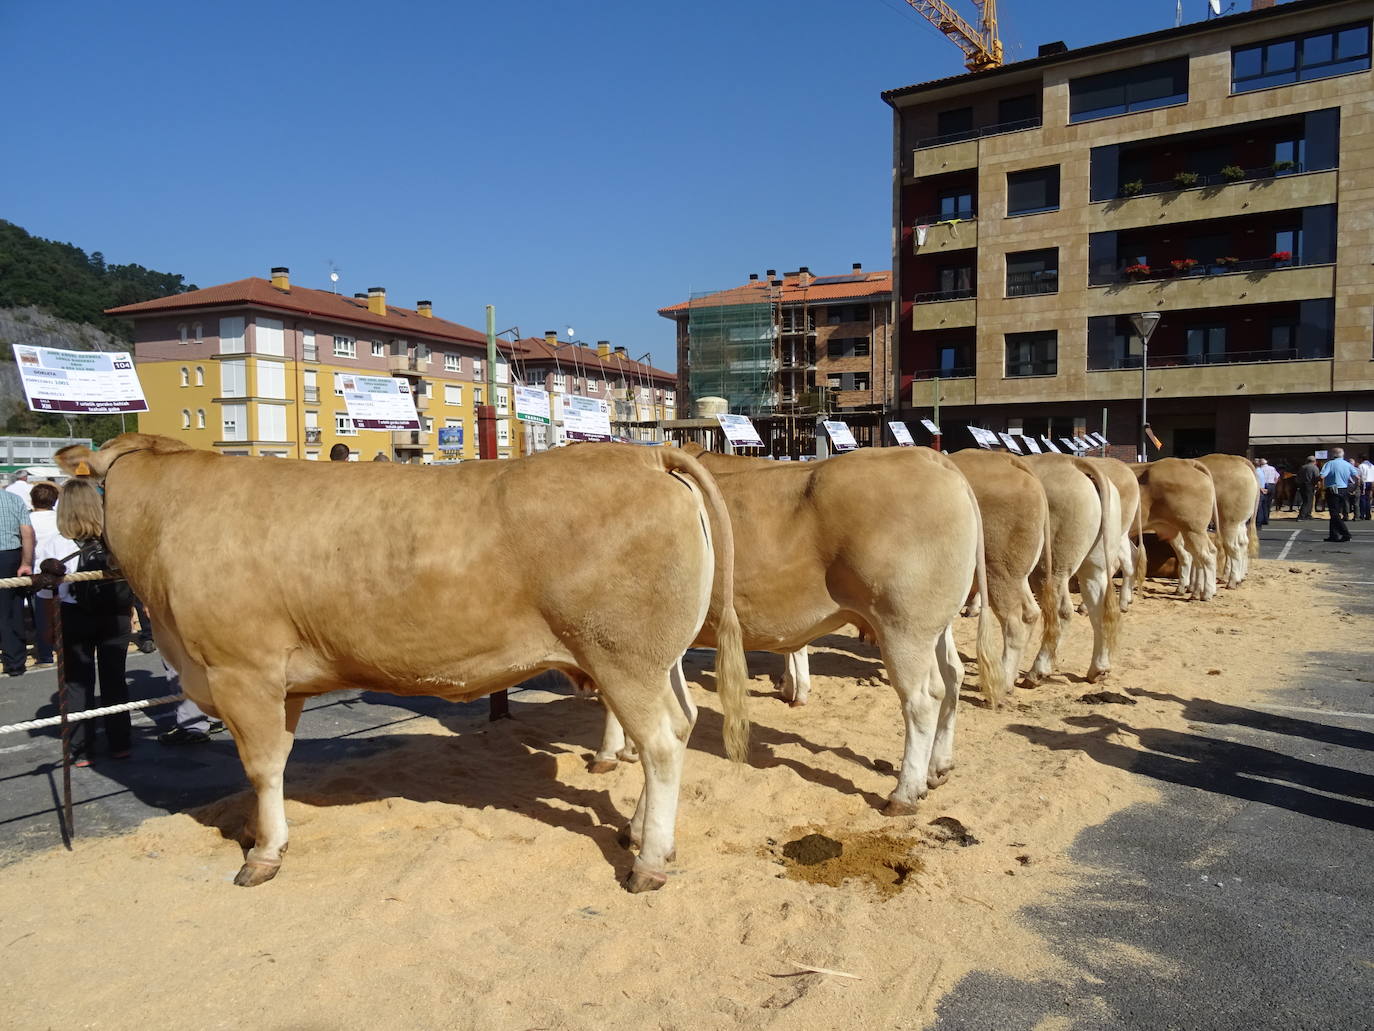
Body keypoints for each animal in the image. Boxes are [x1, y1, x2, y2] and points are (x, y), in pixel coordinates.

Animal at [56, 431, 752, 890]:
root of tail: (646, 452)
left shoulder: (239, 671)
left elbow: (259, 767)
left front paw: (264, 853)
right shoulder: (281, 683)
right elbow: (276, 762)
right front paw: (262, 835)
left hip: (622, 656)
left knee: (659, 745)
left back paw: (648, 862)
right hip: (659, 657)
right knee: (682, 724)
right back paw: (637, 832)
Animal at [1022, 453, 1115, 687]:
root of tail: (1072, 462)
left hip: (1050, 565)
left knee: (1061, 611)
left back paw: (1038, 671)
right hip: (1095, 563)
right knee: (1098, 606)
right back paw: (1098, 669)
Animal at [1132, 461, 1220, 604]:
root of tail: (1185, 462)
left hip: (1193, 529)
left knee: (1206, 556)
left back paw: (1206, 594)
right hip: (1187, 531)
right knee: (1195, 556)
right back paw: (1192, 591)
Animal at [1198, 453, 1258, 588]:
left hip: (1229, 520)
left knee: (1233, 547)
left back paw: (1231, 581)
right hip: (1239, 521)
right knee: (1242, 543)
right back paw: (1238, 577)